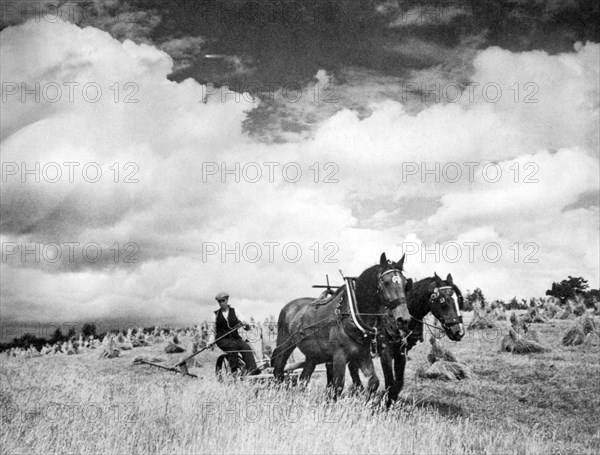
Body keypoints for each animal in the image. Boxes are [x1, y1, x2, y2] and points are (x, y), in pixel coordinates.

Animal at [272, 253, 412, 400]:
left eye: (405, 284)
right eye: (386, 283)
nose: (404, 318)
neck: (351, 315)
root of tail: (288, 307)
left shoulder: (362, 355)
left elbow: (374, 381)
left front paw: (366, 398)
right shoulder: (339, 356)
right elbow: (338, 386)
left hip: (313, 356)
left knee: (303, 379)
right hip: (284, 345)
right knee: (278, 371)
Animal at [346, 272, 464, 404]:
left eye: (459, 300)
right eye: (443, 301)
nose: (459, 332)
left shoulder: (402, 352)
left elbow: (398, 383)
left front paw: (389, 401)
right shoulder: (385, 352)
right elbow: (390, 381)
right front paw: (383, 402)